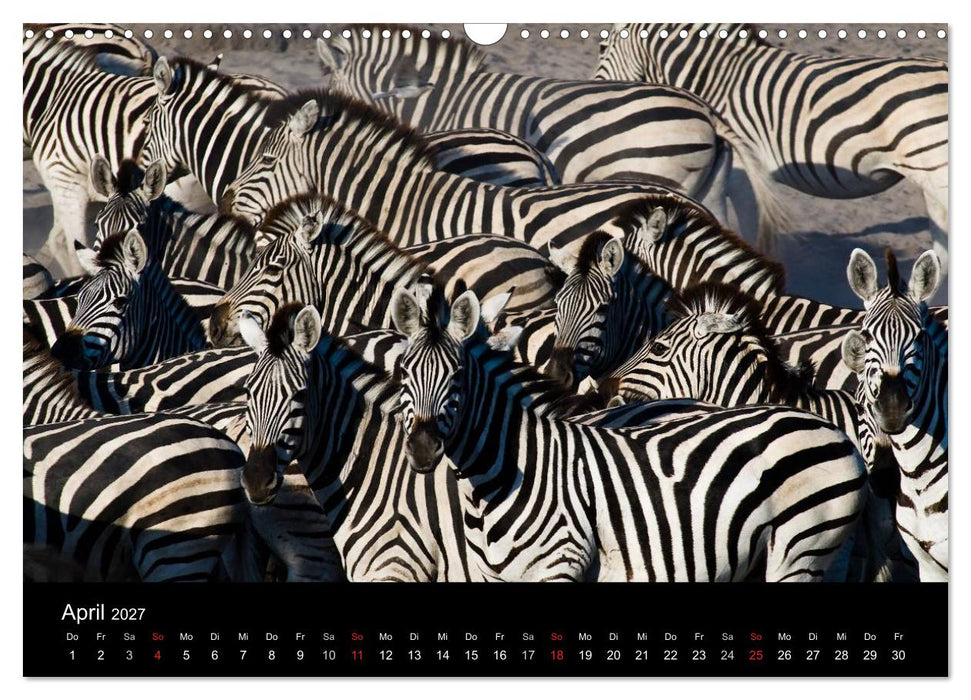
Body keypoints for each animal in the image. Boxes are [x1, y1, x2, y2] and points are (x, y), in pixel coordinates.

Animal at [387, 283, 866, 581]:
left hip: (801, 549)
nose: (422, 449)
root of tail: (831, 429)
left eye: (457, 378)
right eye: (403, 372)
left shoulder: (563, 565)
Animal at [596, 23, 949, 262]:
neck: (719, 76)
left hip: (935, 176)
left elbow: (751, 227)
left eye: (601, 47)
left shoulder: (744, 168)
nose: (600, 92)